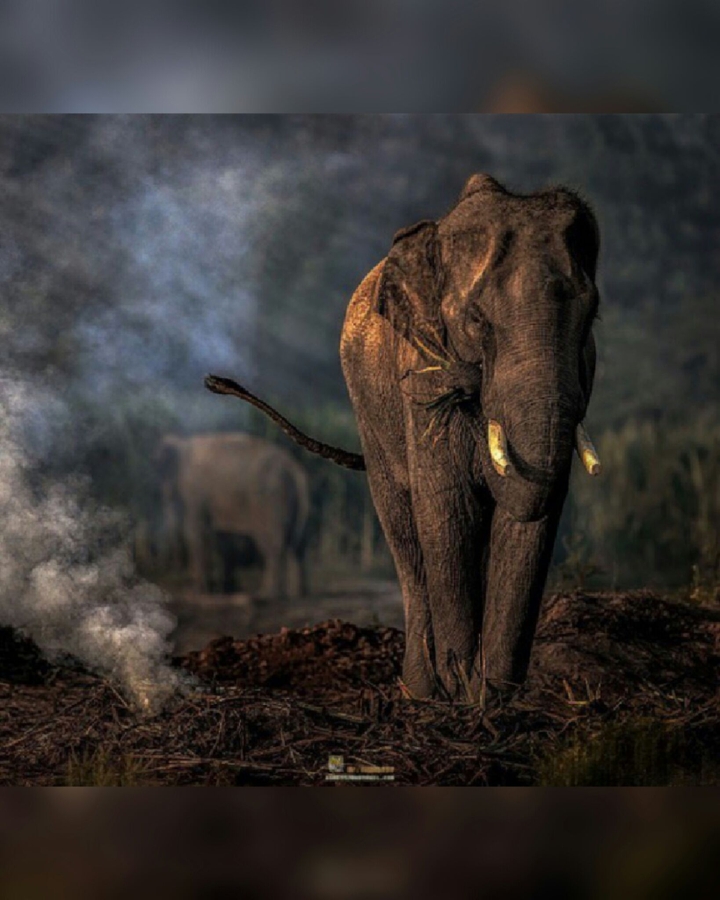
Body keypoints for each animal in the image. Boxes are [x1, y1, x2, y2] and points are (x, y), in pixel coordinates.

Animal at [157, 433, 310, 598]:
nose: (175, 572)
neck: (183, 444)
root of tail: (295, 469)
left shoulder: (195, 493)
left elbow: (196, 532)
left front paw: (197, 592)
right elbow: (224, 539)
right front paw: (226, 590)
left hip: (270, 499)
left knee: (272, 544)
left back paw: (267, 594)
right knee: (298, 547)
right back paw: (297, 595)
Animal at [206, 173, 602, 700]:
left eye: (591, 317)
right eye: (477, 321)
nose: (215, 382)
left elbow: (532, 518)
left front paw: (494, 696)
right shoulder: (418, 373)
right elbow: (449, 507)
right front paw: (461, 692)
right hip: (369, 414)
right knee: (403, 529)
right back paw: (420, 691)